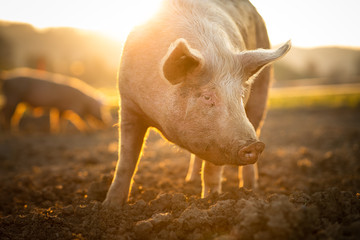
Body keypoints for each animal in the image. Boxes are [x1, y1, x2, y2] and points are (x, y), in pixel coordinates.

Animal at [102, 0, 292, 207]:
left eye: (241, 94)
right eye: (207, 97)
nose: (254, 146)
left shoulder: (218, 139)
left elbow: (212, 169)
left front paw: (210, 201)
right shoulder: (129, 104)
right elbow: (126, 160)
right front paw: (110, 205)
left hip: (261, 95)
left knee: (256, 126)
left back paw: (250, 189)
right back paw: (190, 181)